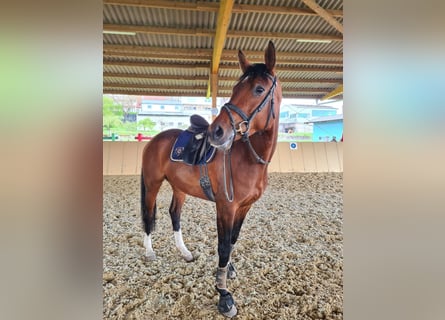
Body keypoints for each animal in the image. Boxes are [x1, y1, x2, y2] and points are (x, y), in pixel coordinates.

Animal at [140, 40, 282, 318]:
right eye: (236, 88)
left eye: (259, 89)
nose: (217, 131)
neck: (247, 158)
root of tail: (155, 139)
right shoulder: (226, 207)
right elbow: (223, 245)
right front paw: (224, 295)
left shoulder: (244, 207)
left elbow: (233, 239)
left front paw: (229, 271)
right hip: (152, 185)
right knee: (149, 215)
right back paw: (150, 253)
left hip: (179, 188)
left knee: (174, 213)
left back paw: (185, 253)